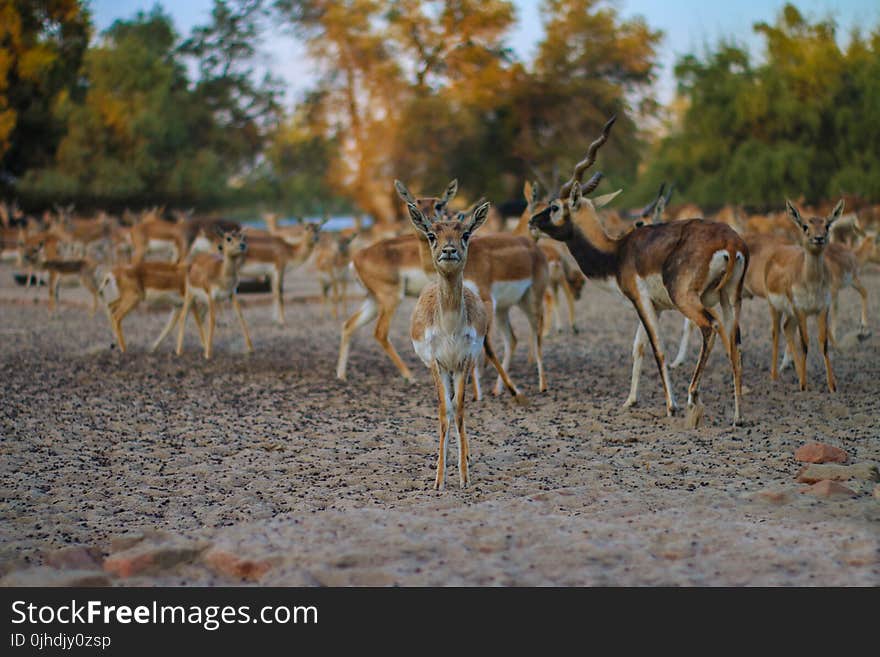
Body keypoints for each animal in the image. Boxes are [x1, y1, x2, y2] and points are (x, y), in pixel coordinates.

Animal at [404, 202, 498, 490]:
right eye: (431, 234)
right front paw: (439, 479)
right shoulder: (437, 363)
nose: (448, 250)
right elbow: (444, 411)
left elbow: (459, 410)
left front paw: (464, 477)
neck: (449, 328)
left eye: (465, 233)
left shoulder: (464, 360)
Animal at [528, 116, 748, 426]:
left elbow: (657, 348)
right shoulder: (654, 306)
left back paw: (692, 398)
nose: (532, 222)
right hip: (731, 299)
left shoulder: (640, 300)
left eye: (555, 207)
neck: (617, 251)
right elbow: (638, 347)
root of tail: (731, 241)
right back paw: (738, 416)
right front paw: (630, 400)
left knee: (710, 327)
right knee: (735, 345)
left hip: (687, 299)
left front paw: (671, 405)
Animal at [768, 200, 844, 390]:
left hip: (791, 314)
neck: (811, 283)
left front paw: (832, 385)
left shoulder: (822, 308)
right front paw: (804, 385)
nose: (819, 238)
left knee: (787, 328)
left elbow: (823, 343)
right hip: (775, 308)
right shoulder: (800, 308)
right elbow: (805, 343)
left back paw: (797, 372)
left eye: (827, 225)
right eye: (805, 226)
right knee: (775, 333)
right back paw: (774, 375)